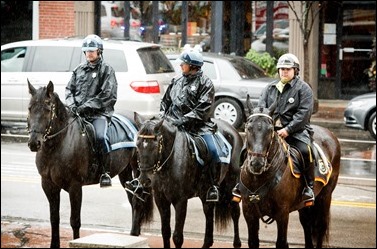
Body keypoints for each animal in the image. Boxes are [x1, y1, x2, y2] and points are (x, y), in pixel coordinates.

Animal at [26, 80, 148, 248]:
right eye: (30, 108)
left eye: (47, 109)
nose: (34, 143)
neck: (60, 143)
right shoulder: (49, 186)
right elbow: (54, 219)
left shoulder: (75, 186)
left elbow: (75, 221)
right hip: (125, 171)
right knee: (133, 199)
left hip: (138, 170)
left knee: (138, 199)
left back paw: (134, 235)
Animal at [133, 113, 244, 249]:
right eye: (137, 145)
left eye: (155, 145)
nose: (144, 180)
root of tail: (234, 131)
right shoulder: (161, 199)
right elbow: (165, 231)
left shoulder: (180, 201)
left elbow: (177, 237)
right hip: (205, 193)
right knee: (209, 213)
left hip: (230, 186)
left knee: (235, 212)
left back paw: (237, 243)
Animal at [239, 105, 342, 247]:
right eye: (248, 128)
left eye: (270, 130)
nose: (256, 163)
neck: (258, 179)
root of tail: (330, 134)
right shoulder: (249, 213)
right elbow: (253, 242)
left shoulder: (282, 213)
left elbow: (282, 242)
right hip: (304, 205)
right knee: (307, 224)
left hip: (325, 196)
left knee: (321, 226)